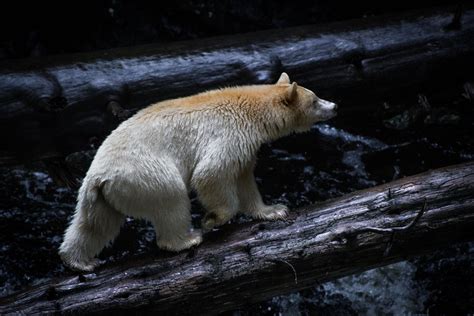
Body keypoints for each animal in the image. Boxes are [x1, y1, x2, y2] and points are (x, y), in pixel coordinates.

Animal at [59, 72, 336, 272]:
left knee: (94, 225)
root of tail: (99, 177)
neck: (251, 110)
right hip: (144, 174)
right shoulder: (228, 133)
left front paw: (273, 210)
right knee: (172, 200)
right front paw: (212, 219)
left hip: (100, 195)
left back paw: (80, 261)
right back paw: (187, 239)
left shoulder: (245, 146)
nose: (334, 105)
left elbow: (244, 179)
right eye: (315, 100)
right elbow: (211, 173)